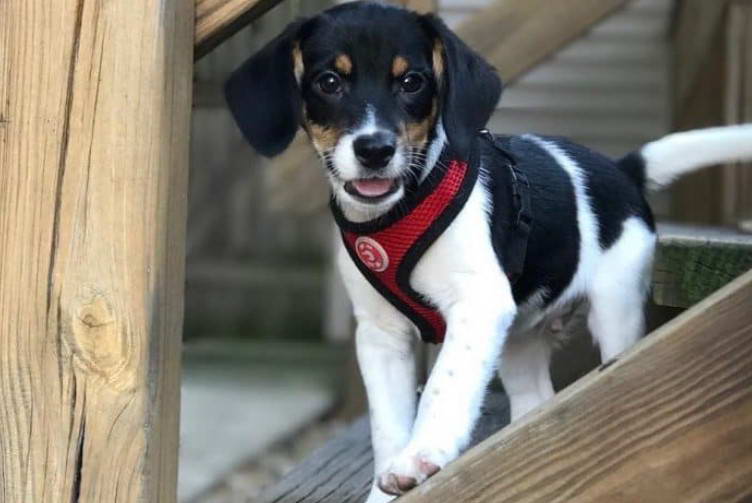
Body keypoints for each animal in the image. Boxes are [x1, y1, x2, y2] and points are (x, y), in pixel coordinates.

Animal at [226, 1, 752, 502]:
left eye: (412, 82)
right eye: (329, 82)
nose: (375, 149)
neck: (403, 206)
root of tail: (622, 170)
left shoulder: (477, 304)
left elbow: (443, 387)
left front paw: (422, 456)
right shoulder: (381, 334)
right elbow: (387, 426)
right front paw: (386, 484)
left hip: (615, 310)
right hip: (519, 341)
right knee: (537, 402)